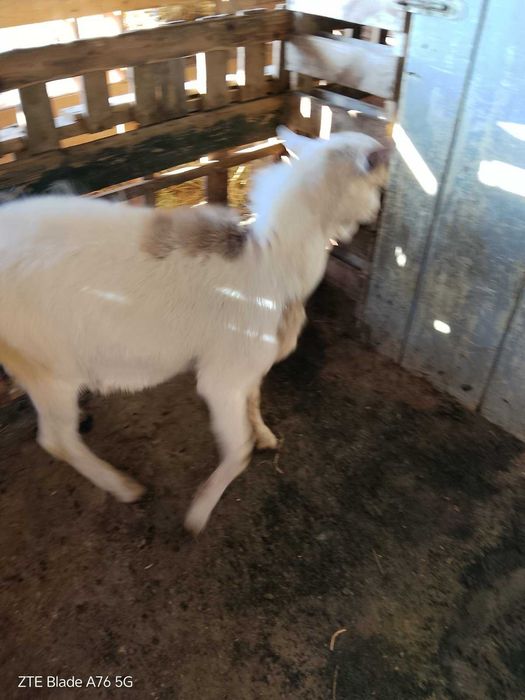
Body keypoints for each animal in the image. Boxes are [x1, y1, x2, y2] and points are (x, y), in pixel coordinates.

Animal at [0, 126, 389, 533]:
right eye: (377, 182)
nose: (375, 214)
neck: (271, 260)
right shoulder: (224, 375)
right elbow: (239, 449)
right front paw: (200, 511)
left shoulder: (249, 361)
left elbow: (254, 398)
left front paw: (265, 435)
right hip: (46, 363)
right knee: (57, 440)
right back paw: (124, 487)